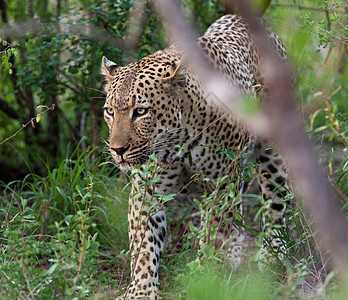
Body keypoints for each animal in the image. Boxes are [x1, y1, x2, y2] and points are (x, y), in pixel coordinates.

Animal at [102, 14, 290, 300]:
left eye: (141, 111)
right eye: (110, 111)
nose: (117, 150)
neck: (177, 140)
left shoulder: (222, 182)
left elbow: (213, 232)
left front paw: (204, 278)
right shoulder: (147, 187)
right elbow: (144, 242)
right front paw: (141, 291)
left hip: (273, 152)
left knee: (275, 201)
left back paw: (273, 252)